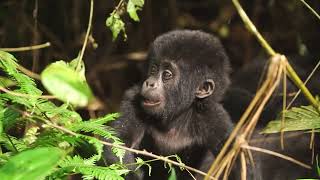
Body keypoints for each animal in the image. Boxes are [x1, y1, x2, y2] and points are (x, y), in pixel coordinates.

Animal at [106, 30, 234, 179]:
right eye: (153, 69)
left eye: (167, 75)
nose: (149, 83)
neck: (177, 116)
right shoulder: (133, 100)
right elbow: (118, 144)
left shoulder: (214, 117)